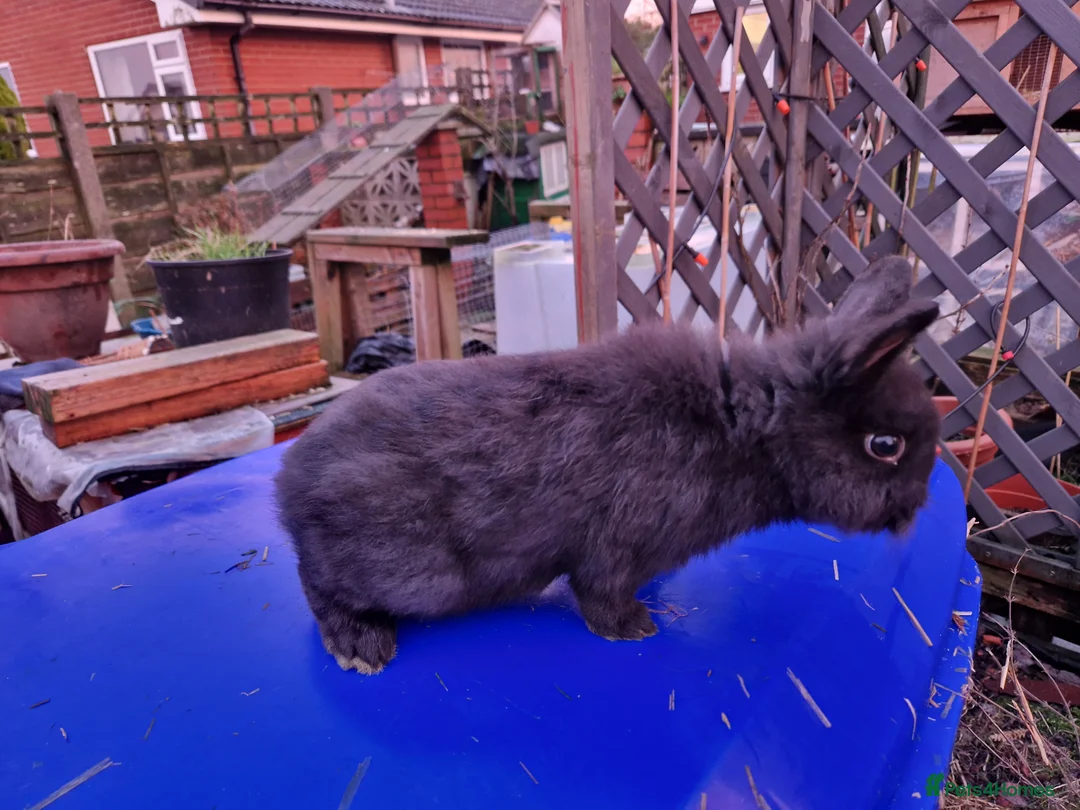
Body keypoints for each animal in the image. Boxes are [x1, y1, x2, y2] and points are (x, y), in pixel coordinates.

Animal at [274, 255, 941, 675]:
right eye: (886, 446)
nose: (916, 509)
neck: (745, 430)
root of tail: (289, 483)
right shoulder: (615, 549)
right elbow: (599, 592)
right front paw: (633, 628)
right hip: (412, 571)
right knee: (318, 586)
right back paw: (362, 648)